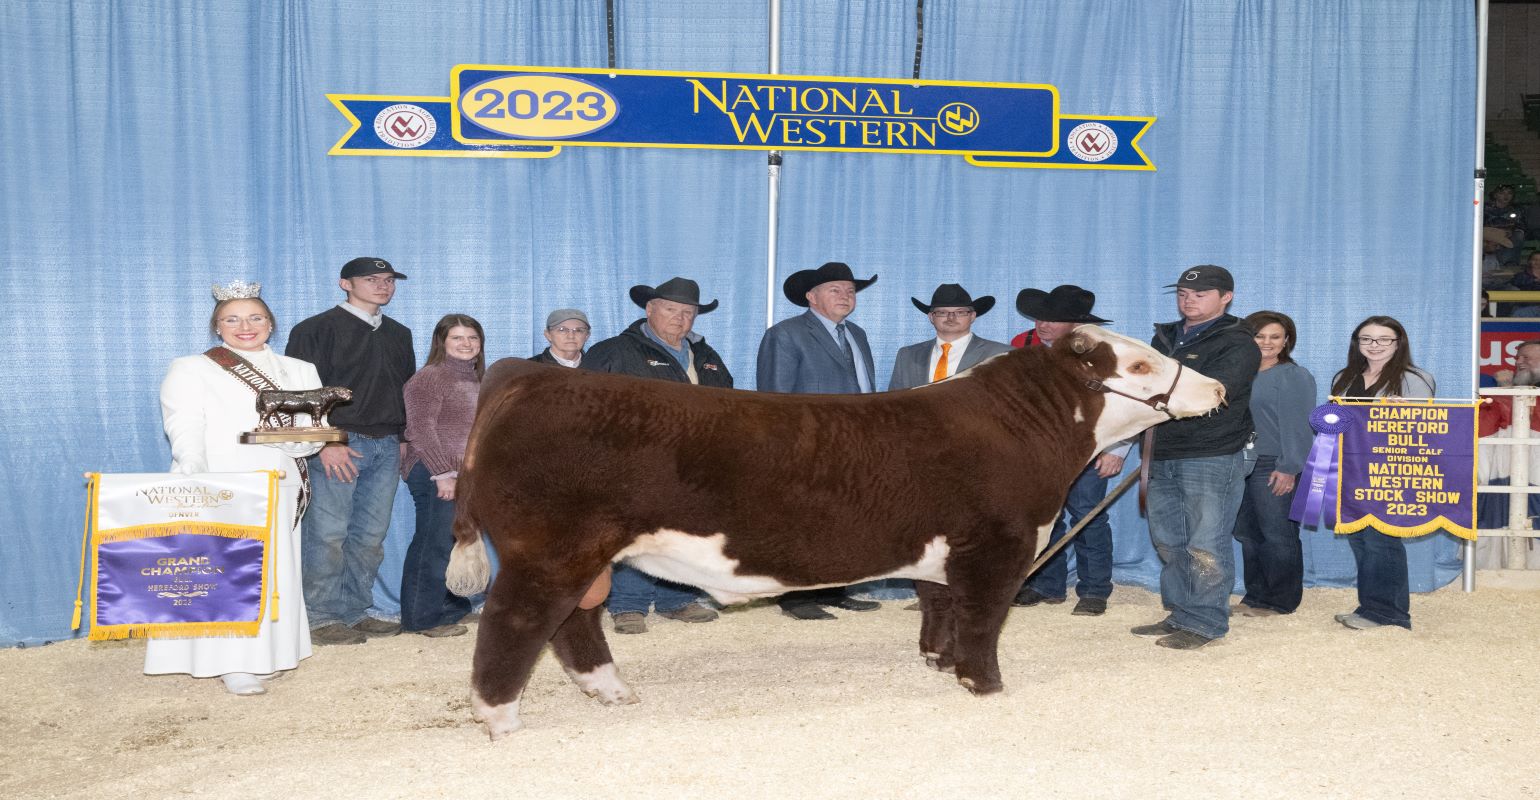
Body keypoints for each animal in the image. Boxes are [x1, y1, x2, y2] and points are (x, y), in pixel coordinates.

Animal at [446, 325, 1225, 739]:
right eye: (1142, 363)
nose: (1217, 388)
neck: (1022, 429)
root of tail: (525, 376)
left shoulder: (942, 555)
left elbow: (939, 609)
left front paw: (938, 663)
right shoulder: (995, 548)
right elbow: (981, 621)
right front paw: (985, 685)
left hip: (580, 554)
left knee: (575, 623)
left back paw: (610, 692)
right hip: (550, 551)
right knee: (516, 623)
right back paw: (501, 720)